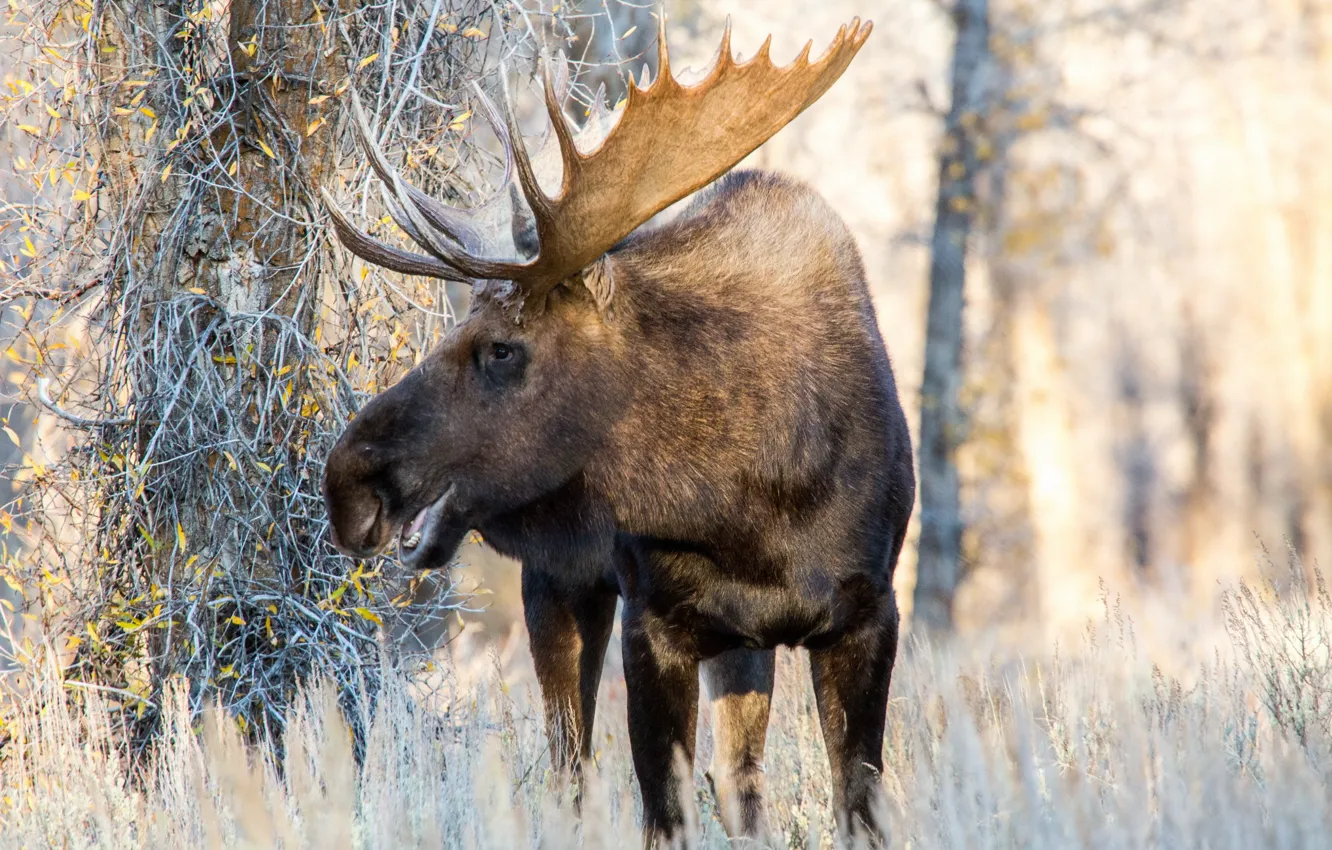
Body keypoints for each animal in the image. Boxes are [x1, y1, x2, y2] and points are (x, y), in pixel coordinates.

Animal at [321, 15, 914, 845]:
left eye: (500, 348)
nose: (348, 481)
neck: (754, 507)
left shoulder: (868, 613)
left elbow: (851, 803)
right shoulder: (653, 618)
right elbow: (663, 809)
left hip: (737, 642)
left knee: (738, 783)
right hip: (562, 584)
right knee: (569, 769)